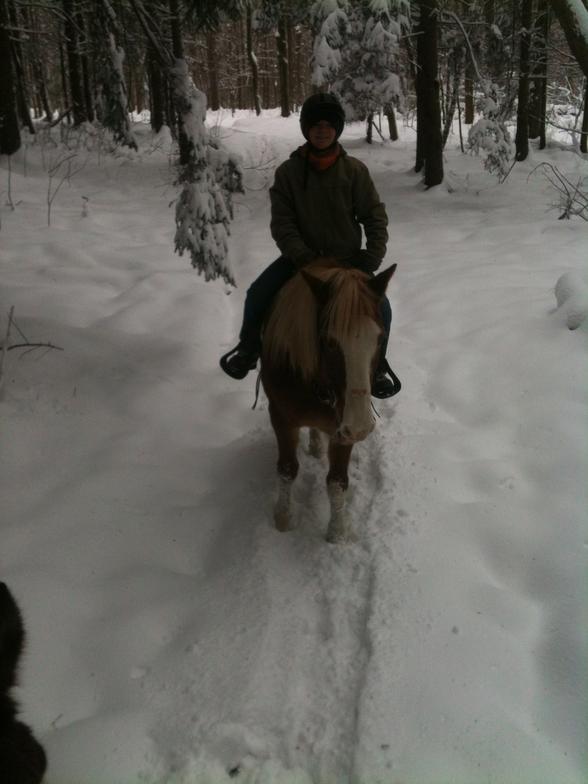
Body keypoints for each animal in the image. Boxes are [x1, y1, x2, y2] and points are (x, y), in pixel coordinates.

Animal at [260, 259, 397, 542]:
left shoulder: (341, 427)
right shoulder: (280, 416)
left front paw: (337, 532)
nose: (361, 427)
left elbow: (337, 482)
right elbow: (287, 469)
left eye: (380, 338)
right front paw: (282, 520)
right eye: (329, 341)